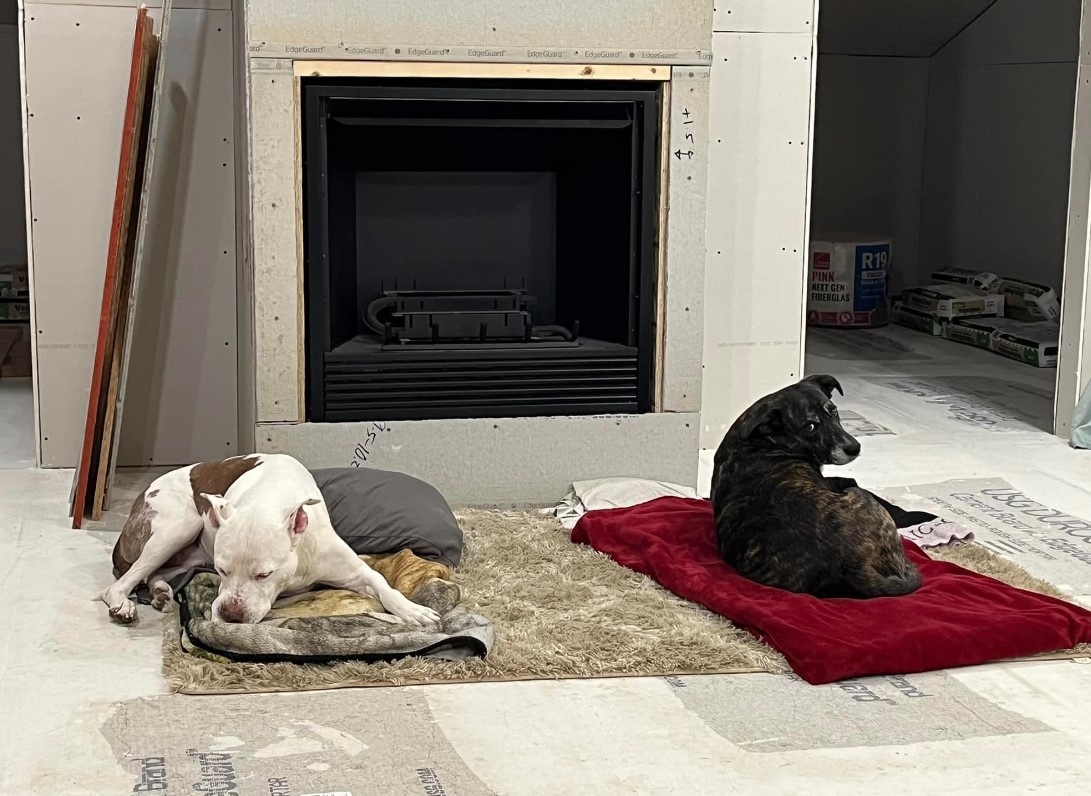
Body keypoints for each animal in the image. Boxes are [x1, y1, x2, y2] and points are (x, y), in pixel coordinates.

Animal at [100, 453, 440, 628]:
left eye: (264, 574)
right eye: (221, 571)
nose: (231, 616)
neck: (267, 500)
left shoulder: (354, 571)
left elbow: (382, 584)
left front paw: (413, 610)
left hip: (187, 555)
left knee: (151, 574)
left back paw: (160, 592)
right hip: (180, 525)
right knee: (120, 584)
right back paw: (123, 604)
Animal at [715, 372, 920, 593]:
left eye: (834, 411)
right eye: (810, 426)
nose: (854, 447)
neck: (764, 442)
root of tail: (853, 566)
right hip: (860, 496)